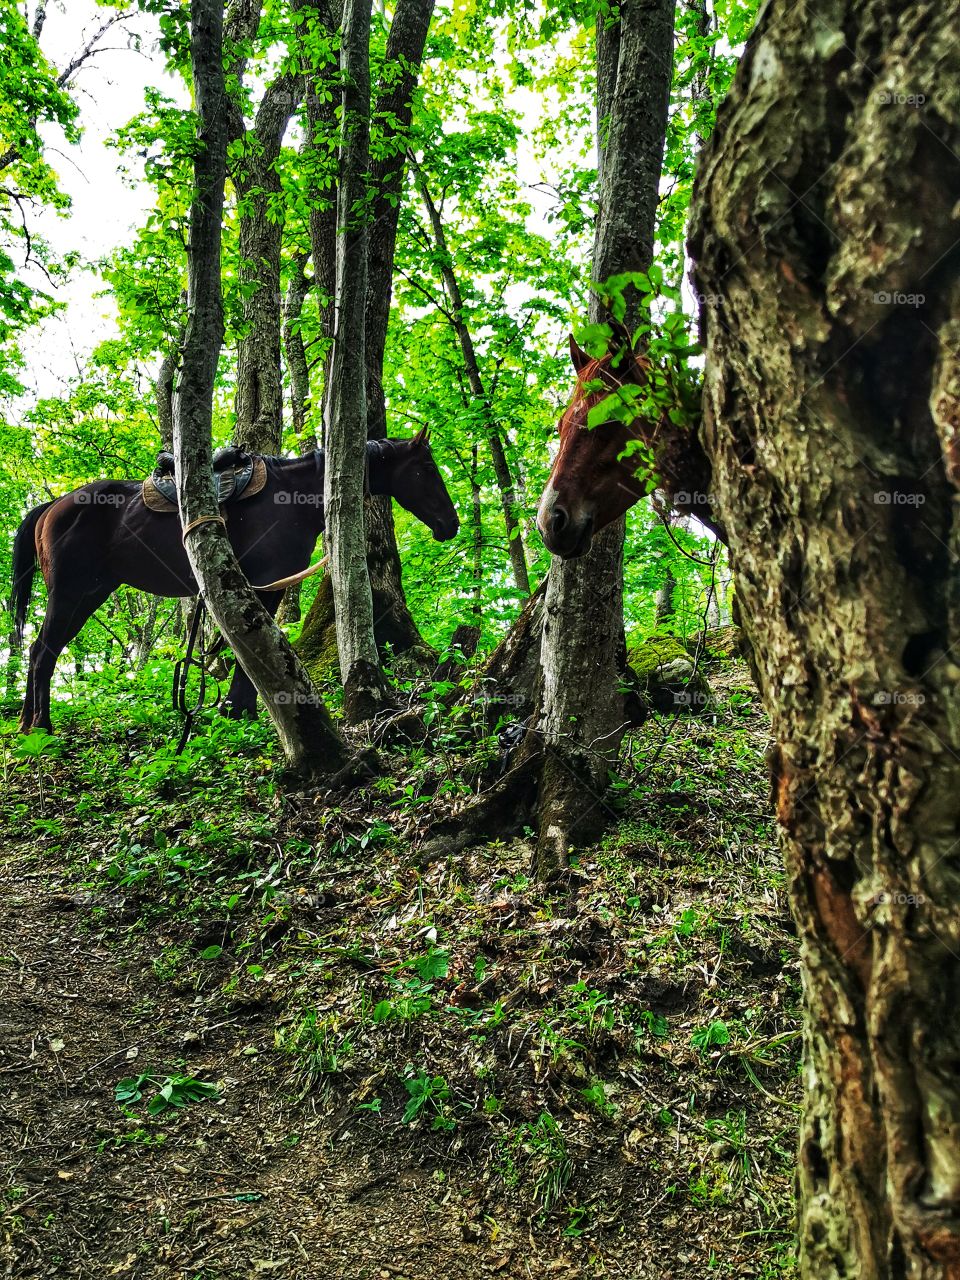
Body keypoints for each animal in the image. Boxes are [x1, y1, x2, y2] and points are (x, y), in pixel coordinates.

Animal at [10, 430, 459, 731]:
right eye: (425, 468)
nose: (450, 525)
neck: (292, 496)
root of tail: (53, 505)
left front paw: (237, 707)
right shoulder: (268, 581)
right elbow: (256, 644)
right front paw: (238, 708)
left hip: (90, 592)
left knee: (37, 650)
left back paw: (28, 724)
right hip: (71, 592)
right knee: (42, 651)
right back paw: (41, 726)